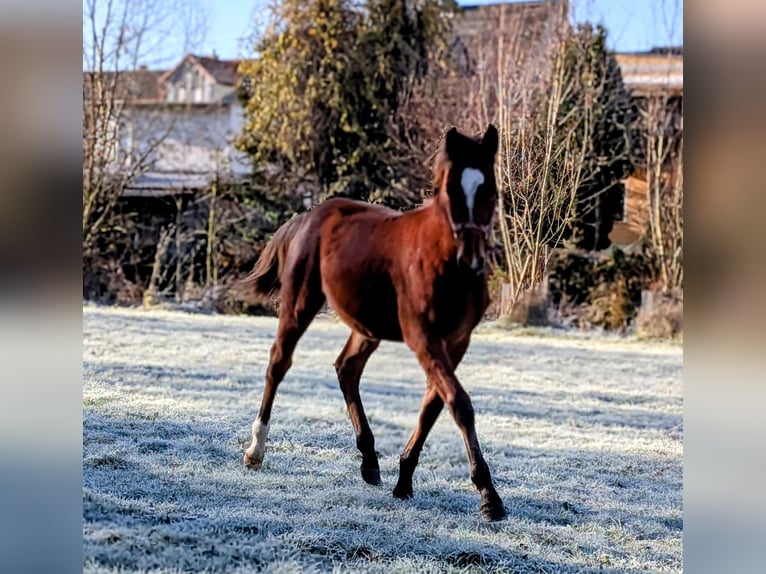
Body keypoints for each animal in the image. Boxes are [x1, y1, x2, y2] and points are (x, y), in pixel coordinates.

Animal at [242, 124, 506, 521]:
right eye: (450, 191)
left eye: (489, 189)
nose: (471, 259)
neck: (443, 263)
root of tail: (308, 215)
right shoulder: (423, 337)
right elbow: (459, 403)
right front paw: (489, 496)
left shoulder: (456, 341)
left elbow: (433, 407)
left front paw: (404, 482)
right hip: (300, 304)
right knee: (279, 363)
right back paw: (256, 451)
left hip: (367, 326)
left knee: (347, 369)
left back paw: (369, 462)